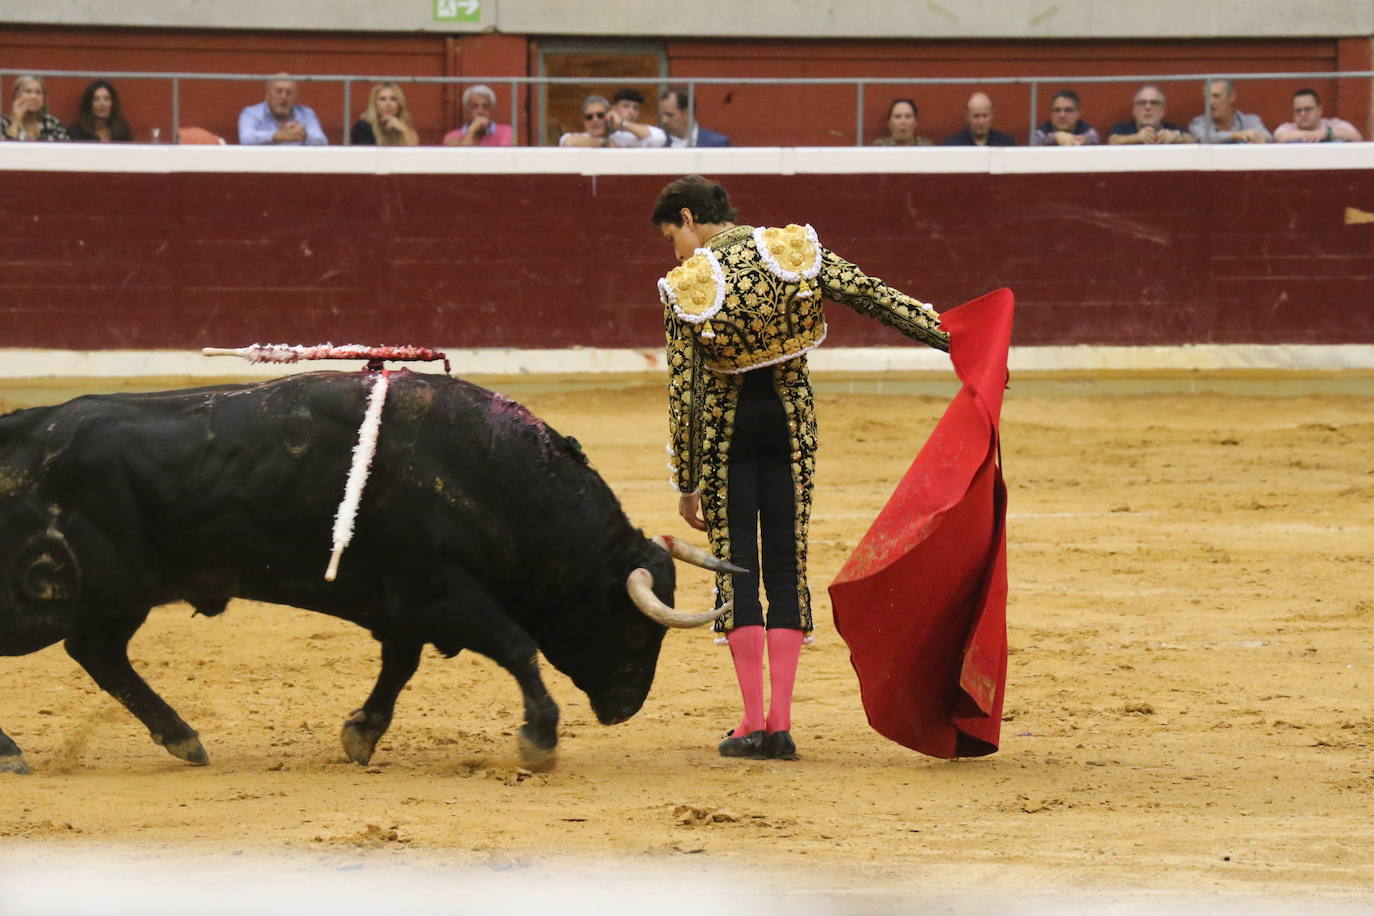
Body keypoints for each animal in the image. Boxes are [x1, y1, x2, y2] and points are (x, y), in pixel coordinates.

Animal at [0, 370, 736, 774]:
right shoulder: (443, 592)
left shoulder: (406, 606)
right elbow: (518, 647)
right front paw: (539, 740)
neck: (493, 475)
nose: (624, 708)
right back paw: (15, 752)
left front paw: (361, 734)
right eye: (637, 633)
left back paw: (183, 739)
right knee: (82, 647)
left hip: (111, 599)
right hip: (52, 594)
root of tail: (20, 429)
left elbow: (399, 668)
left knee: (99, 652)